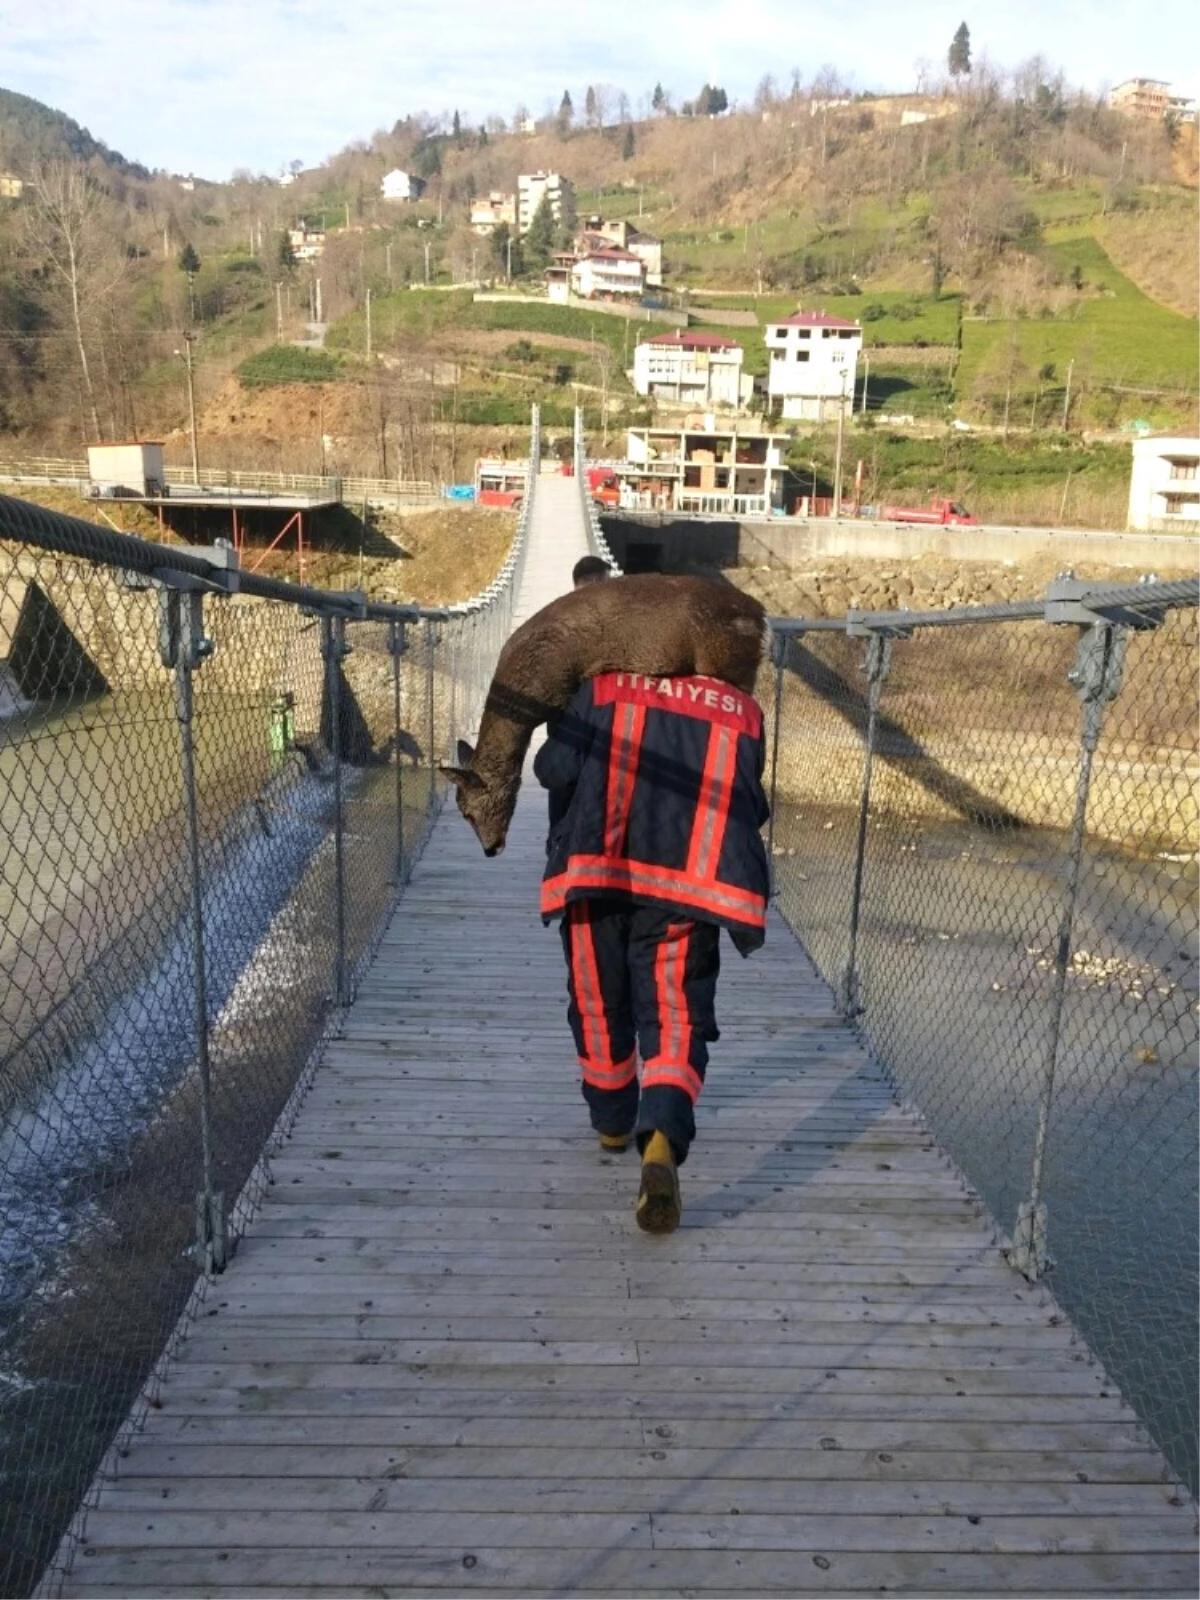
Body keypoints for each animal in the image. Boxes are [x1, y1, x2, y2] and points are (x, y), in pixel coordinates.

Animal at [441, 572, 771, 857]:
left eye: (468, 813)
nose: (491, 849)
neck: (527, 696)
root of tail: (762, 616)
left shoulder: (563, 696)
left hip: (732, 666)